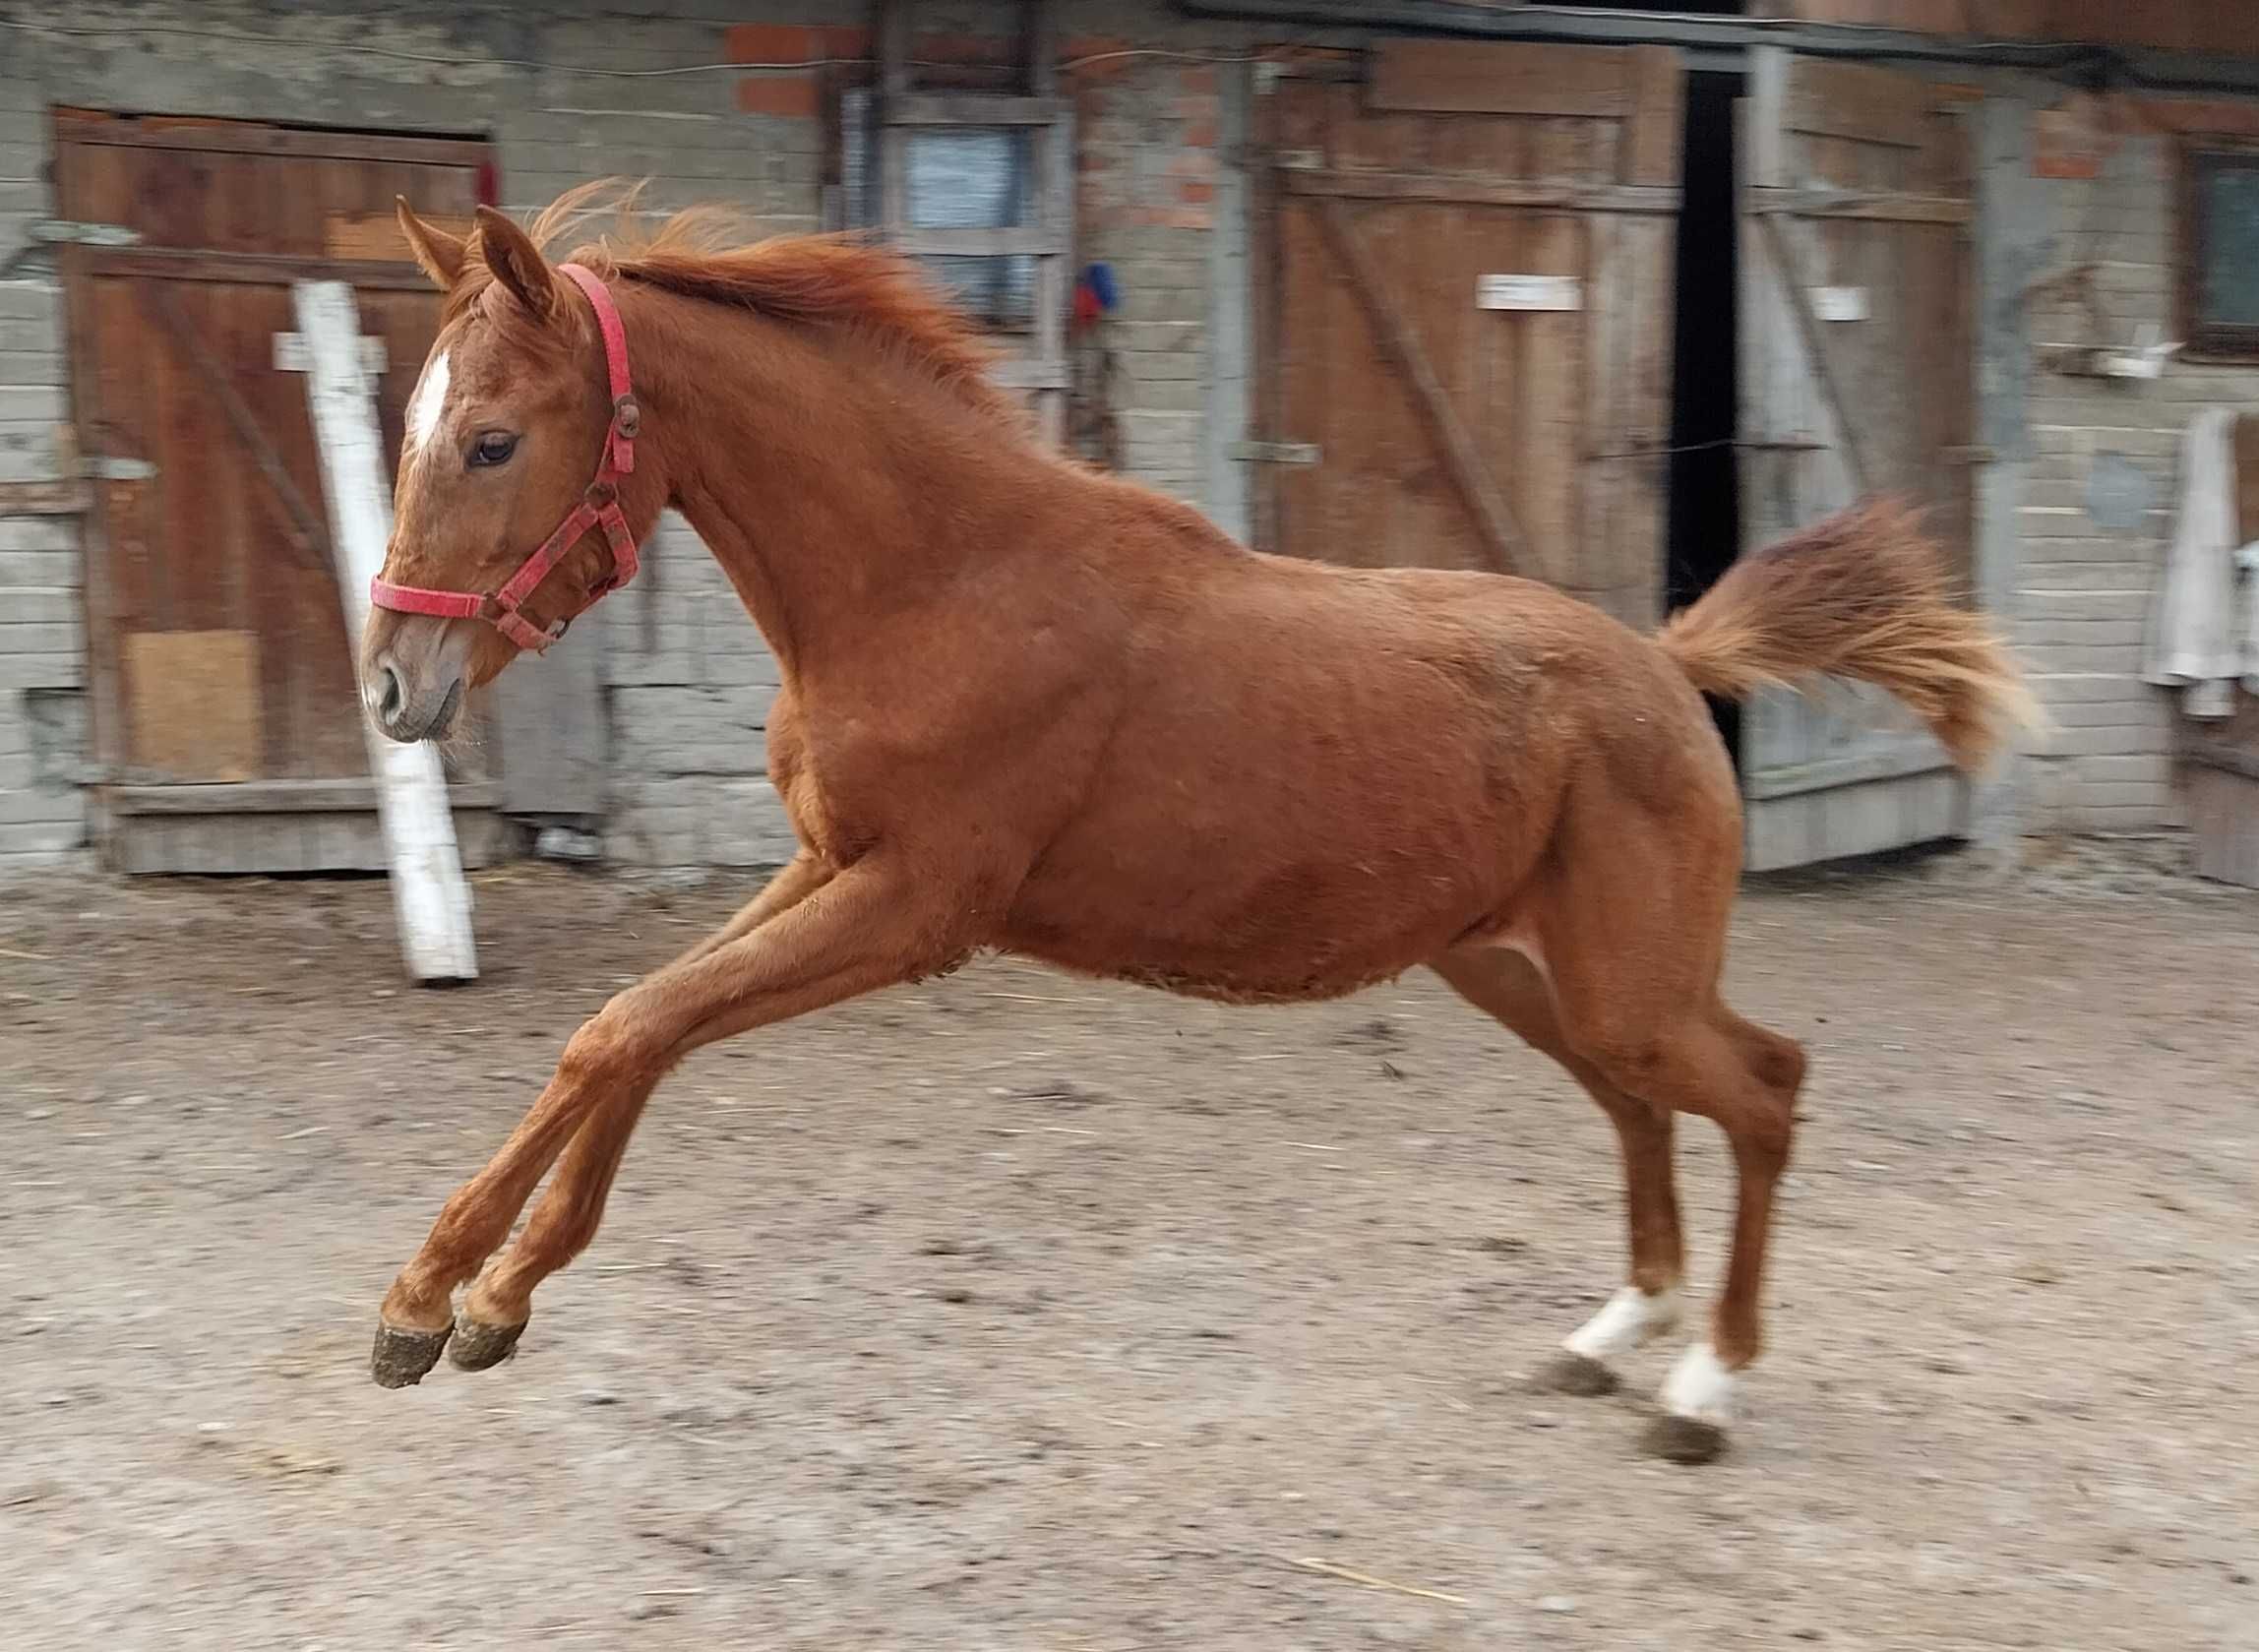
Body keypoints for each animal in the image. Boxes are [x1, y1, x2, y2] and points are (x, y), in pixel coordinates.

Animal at [365, 194, 2033, 1464]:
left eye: (493, 440)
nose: (394, 680)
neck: (940, 580)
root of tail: (1672, 668)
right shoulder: (826, 865)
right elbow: (630, 1030)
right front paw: (473, 1300)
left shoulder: (915, 907)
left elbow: (631, 1025)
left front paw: (442, 1296)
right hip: (1518, 967)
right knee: (1640, 1103)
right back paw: (1617, 1329)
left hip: (1628, 979)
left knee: (1763, 1087)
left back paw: (1704, 1383)